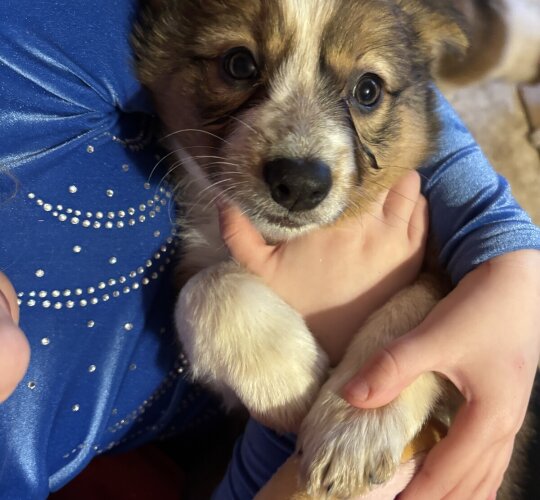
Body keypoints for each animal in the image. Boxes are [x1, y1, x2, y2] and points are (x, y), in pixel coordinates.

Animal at [134, 1, 532, 498]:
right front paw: (292, 383)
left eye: (368, 90)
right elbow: (205, 287)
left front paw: (355, 422)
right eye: (239, 64)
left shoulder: (437, 256)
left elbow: (420, 304)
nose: (300, 184)